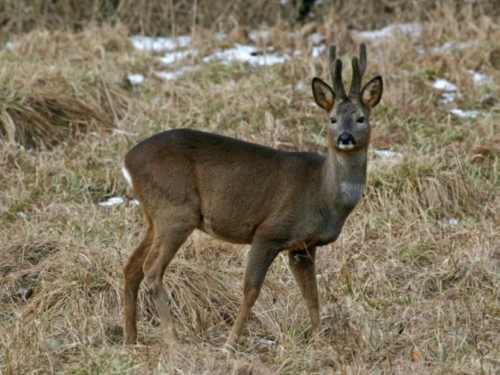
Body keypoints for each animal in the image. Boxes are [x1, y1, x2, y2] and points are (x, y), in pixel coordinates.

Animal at [121, 44, 382, 352]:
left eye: (361, 118)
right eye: (332, 119)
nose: (345, 137)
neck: (324, 193)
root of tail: (127, 161)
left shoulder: (303, 246)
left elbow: (312, 295)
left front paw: (320, 343)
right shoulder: (270, 231)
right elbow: (251, 290)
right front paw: (229, 345)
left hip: (155, 215)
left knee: (131, 266)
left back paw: (130, 339)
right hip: (176, 210)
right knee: (151, 269)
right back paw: (173, 341)